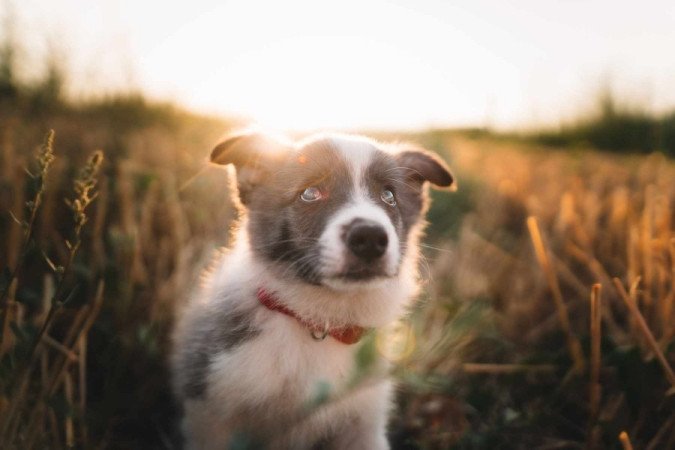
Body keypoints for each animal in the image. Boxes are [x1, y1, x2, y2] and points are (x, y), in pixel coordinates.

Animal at [172, 132, 454, 448]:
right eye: (310, 193)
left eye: (389, 197)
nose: (370, 238)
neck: (320, 320)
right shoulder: (212, 409)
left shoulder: (364, 424)